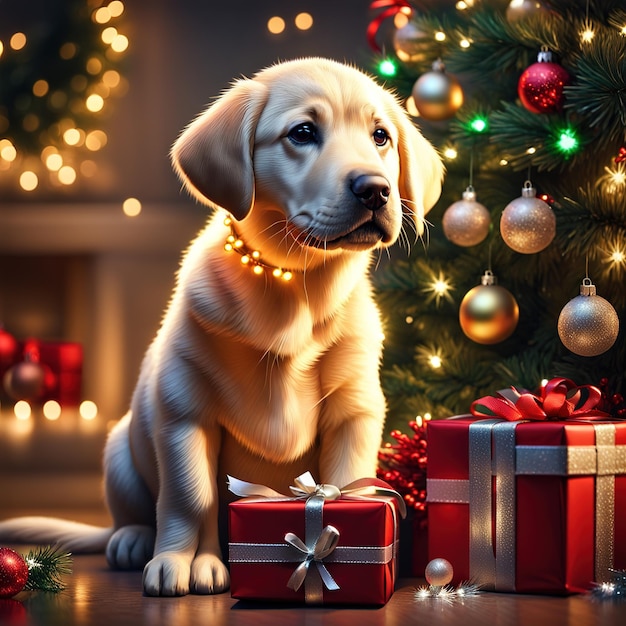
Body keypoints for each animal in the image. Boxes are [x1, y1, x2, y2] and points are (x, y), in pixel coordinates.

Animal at [0, 57, 442, 596]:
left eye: (381, 136)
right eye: (303, 133)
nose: (376, 189)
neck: (294, 287)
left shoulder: (353, 413)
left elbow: (345, 482)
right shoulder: (185, 413)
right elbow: (192, 496)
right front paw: (182, 562)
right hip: (121, 450)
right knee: (134, 511)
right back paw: (133, 539)